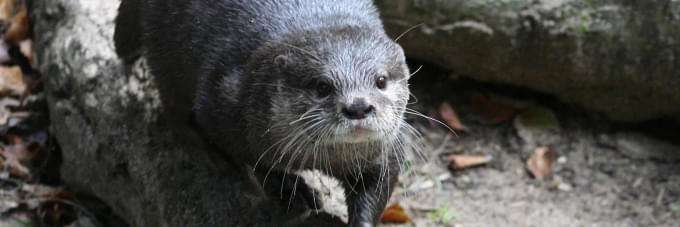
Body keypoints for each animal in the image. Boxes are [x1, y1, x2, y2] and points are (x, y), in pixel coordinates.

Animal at [114, 0, 418, 225]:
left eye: (381, 80)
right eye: (322, 86)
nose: (358, 106)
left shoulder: (387, 151)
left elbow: (377, 189)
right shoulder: (222, 101)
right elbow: (248, 157)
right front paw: (290, 191)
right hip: (167, 50)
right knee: (174, 108)